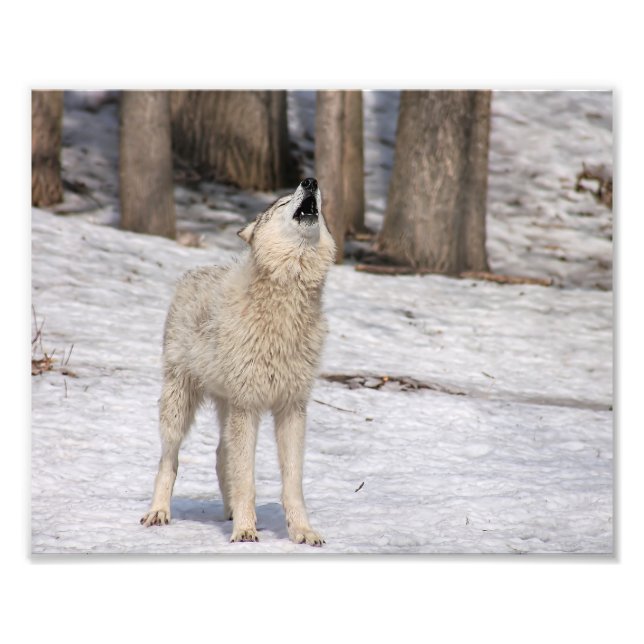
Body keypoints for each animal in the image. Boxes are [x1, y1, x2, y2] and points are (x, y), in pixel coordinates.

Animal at [140, 178, 335, 546]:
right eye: (282, 202)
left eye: (319, 203)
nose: (311, 181)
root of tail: (195, 271)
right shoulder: (248, 405)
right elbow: (246, 478)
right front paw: (245, 530)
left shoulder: (292, 408)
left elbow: (292, 483)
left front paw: (302, 531)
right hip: (180, 405)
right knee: (168, 459)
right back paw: (158, 512)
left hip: (226, 406)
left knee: (221, 455)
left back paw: (229, 511)